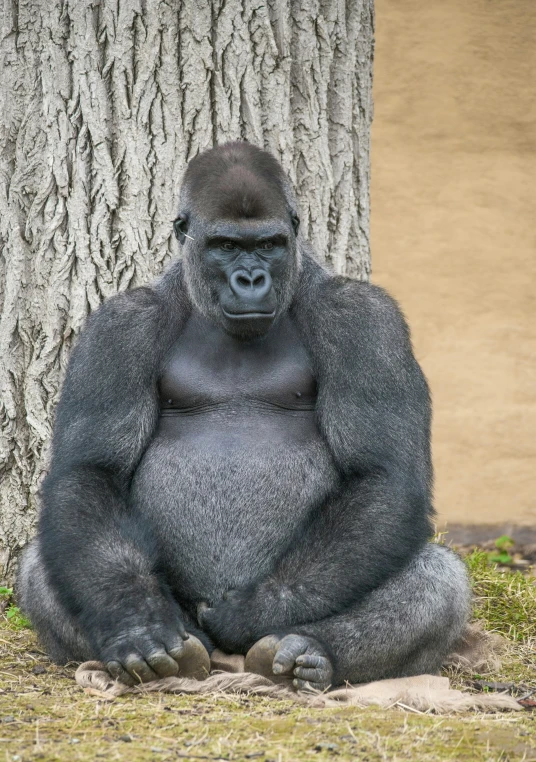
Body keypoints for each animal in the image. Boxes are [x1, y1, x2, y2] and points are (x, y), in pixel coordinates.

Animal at [17, 142, 468, 688]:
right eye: (226, 246)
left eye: (270, 244)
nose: (251, 279)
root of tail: (225, 660)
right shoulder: (118, 326)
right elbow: (90, 471)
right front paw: (137, 622)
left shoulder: (363, 317)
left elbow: (384, 473)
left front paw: (252, 611)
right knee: (41, 563)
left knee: (440, 579)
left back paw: (309, 650)